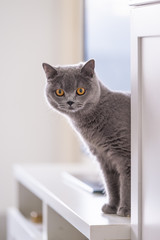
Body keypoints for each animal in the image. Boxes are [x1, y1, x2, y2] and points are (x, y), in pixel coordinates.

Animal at [42, 59, 130, 217]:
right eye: (60, 92)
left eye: (80, 90)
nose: (70, 101)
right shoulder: (104, 158)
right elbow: (111, 184)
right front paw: (111, 207)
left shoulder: (125, 154)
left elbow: (127, 183)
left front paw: (125, 210)